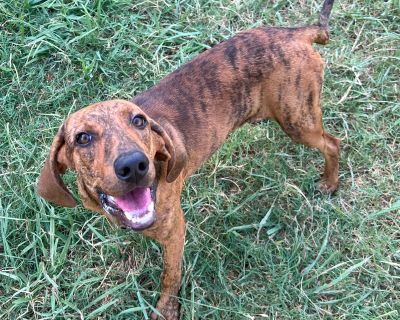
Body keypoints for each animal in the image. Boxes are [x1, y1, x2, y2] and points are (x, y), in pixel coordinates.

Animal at [37, 1, 340, 318]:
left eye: (138, 121)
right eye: (83, 138)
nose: (133, 165)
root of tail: (295, 33)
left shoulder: (174, 232)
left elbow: (170, 276)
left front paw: (167, 308)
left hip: (298, 121)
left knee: (332, 143)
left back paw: (330, 182)